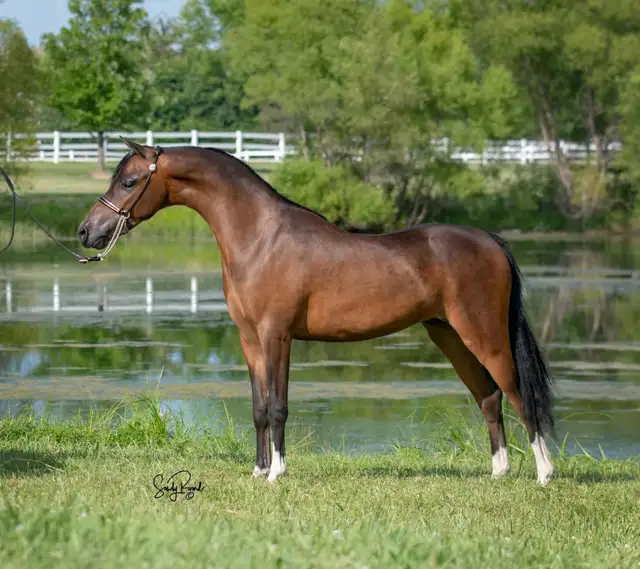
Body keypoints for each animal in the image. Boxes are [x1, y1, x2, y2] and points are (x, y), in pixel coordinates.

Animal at [77, 139, 555, 485]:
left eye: (129, 181)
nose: (86, 231)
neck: (260, 238)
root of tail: (490, 240)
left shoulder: (277, 335)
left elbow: (278, 406)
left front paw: (276, 474)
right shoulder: (249, 340)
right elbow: (258, 407)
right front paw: (257, 471)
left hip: (486, 337)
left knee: (520, 395)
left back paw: (544, 474)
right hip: (450, 335)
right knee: (489, 397)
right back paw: (498, 473)